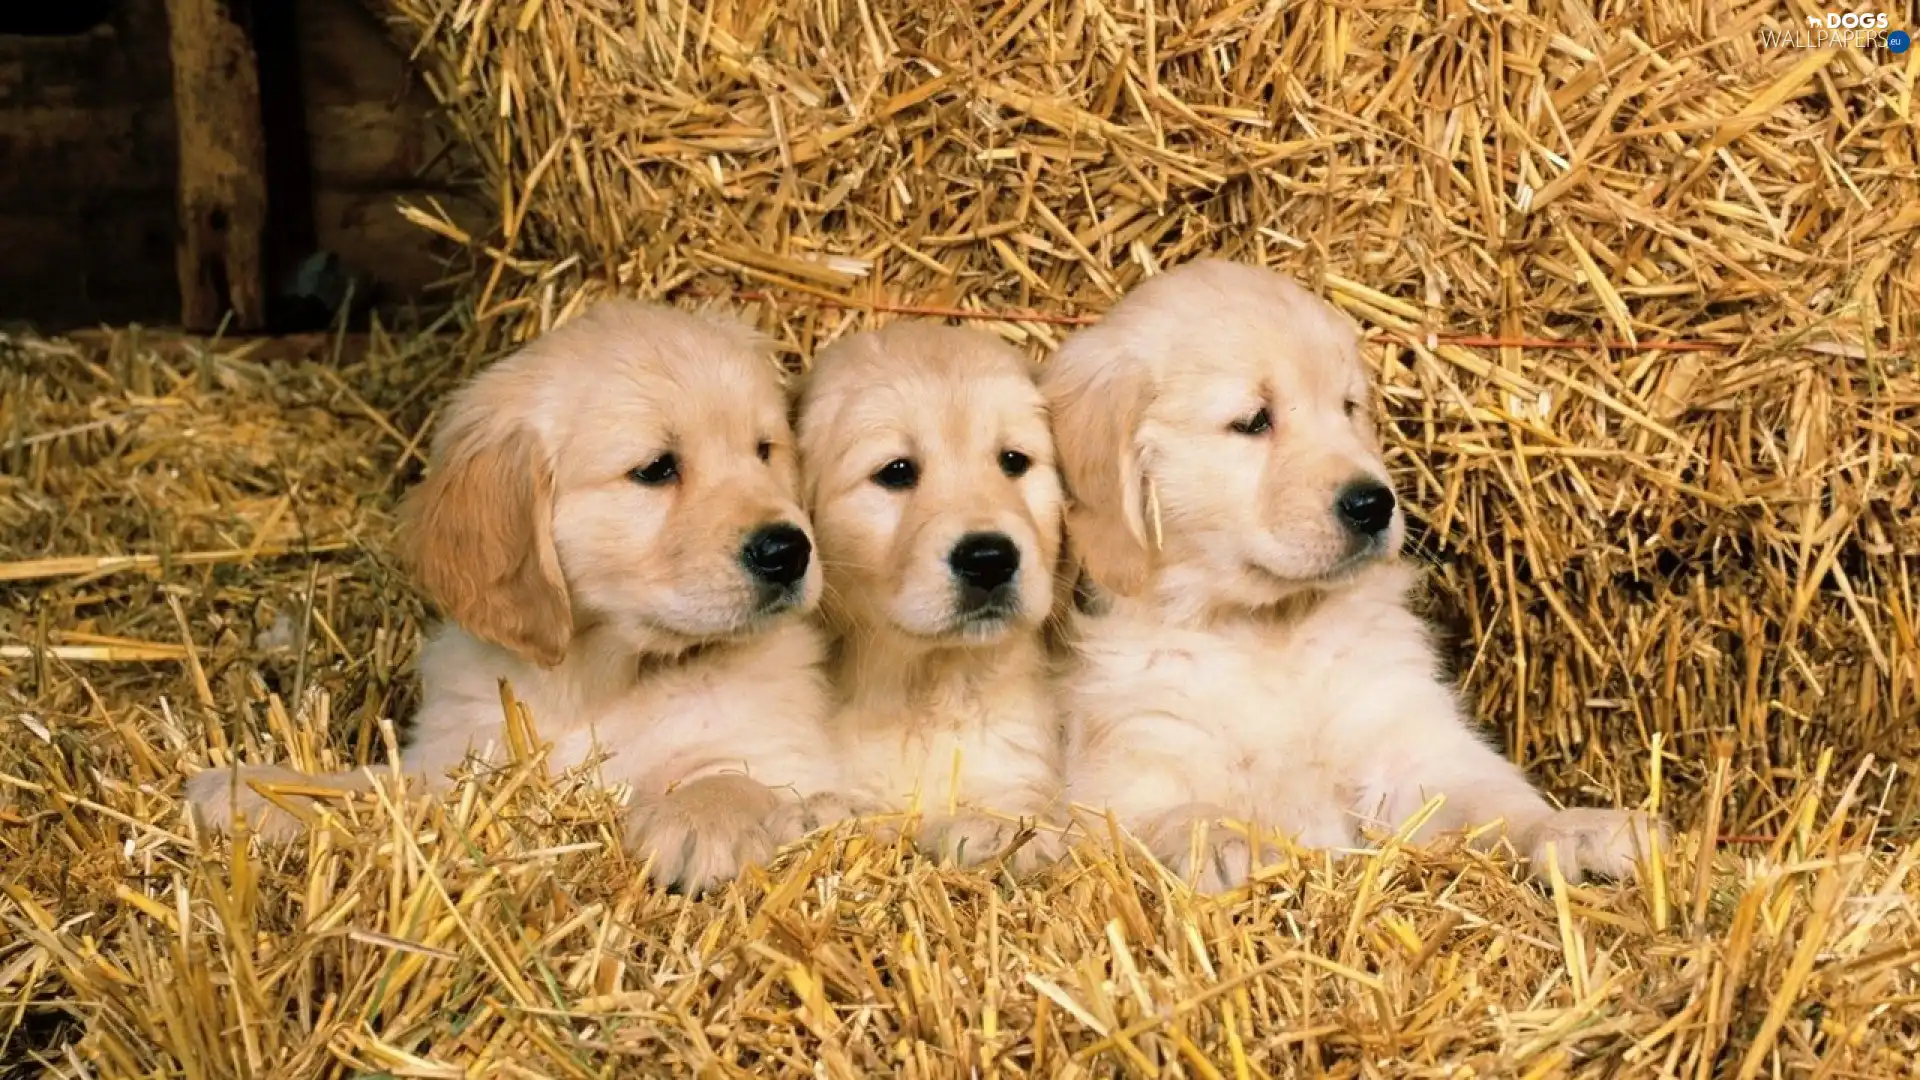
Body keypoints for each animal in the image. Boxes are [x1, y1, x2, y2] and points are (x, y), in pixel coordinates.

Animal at [187, 294, 864, 891]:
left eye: (765, 451)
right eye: (655, 469)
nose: (788, 551)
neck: (604, 676)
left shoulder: (796, 758)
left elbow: (740, 774)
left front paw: (698, 821)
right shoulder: (460, 761)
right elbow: (371, 785)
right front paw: (253, 786)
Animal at [1036, 259, 1666, 891]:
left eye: (1348, 408)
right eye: (1253, 421)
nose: (1374, 504)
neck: (1267, 629)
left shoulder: (1405, 745)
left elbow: (1493, 801)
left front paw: (1578, 829)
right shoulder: (1132, 768)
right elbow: (1173, 815)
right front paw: (1231, 844)